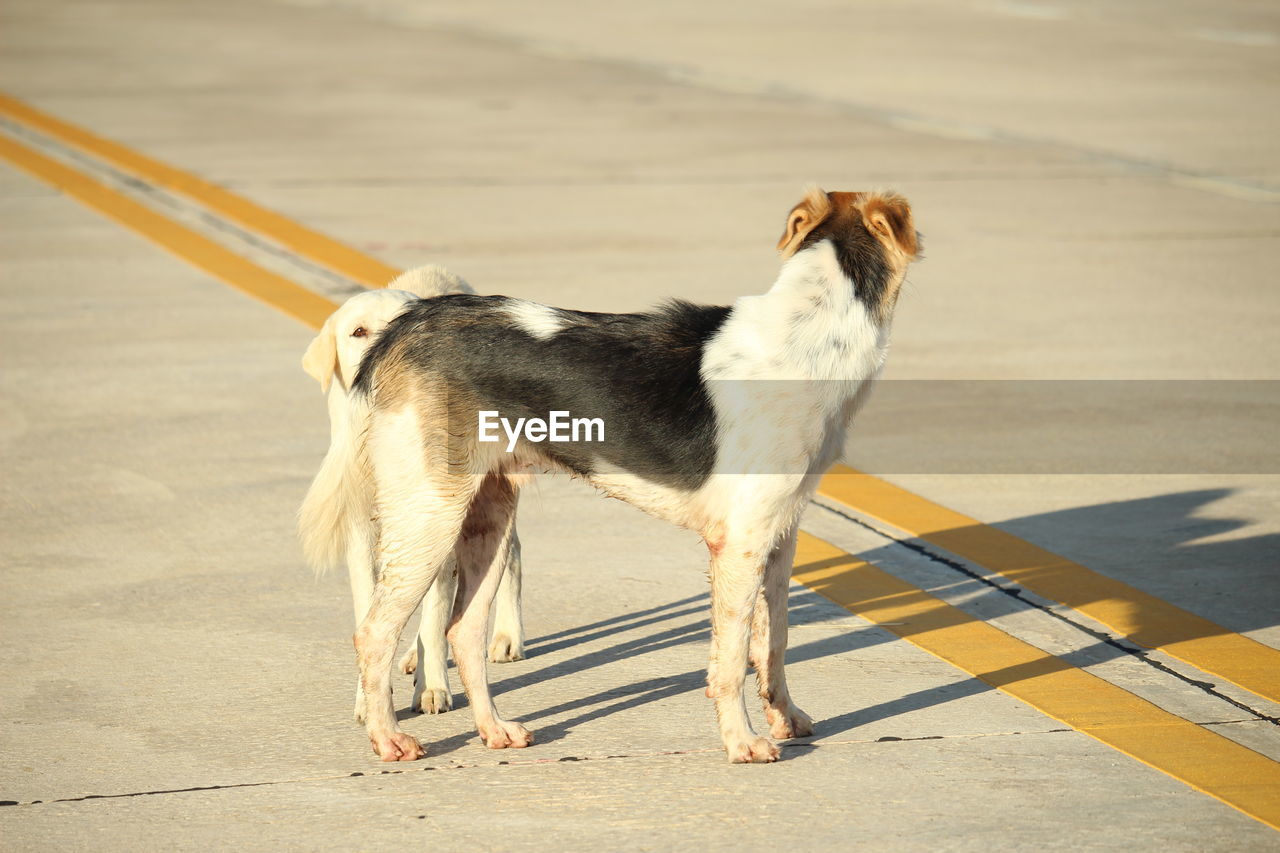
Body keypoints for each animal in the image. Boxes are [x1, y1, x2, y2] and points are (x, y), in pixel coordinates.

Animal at [299, 266, 524, 717]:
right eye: (359, 332)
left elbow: (434, 617)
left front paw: (432, 685)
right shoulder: (360, 536)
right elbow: (372, 612)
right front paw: (370, 697)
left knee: (511, 554)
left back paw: (506, 637)